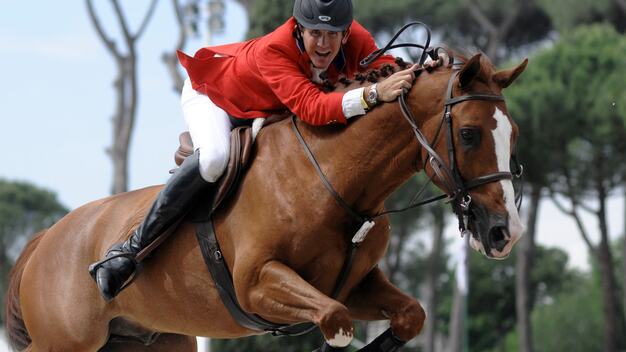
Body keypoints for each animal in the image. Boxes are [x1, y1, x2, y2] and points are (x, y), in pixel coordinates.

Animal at [6, 53, 528, 352]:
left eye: (514, 134)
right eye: (469, 133)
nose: (505, 233)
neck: (333, 178)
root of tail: (44, 239)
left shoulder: (354, 286)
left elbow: (410, 315)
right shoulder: (257, 283)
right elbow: (335, 323)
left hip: (156, 342)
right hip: (64, 342)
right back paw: (116, 264)